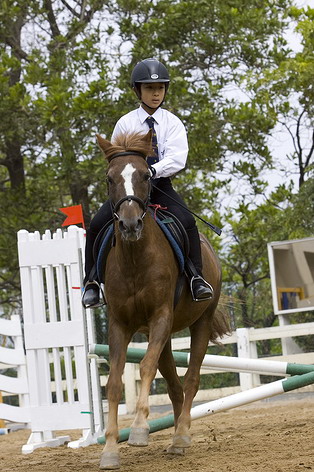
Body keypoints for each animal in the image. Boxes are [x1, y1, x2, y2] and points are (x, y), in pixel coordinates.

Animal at [95, 129, 231, 468]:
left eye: (146, 175)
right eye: (109, 178)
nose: (130, 224)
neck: (134, 258)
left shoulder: (159, 316)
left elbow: (145, 367)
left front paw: (140, 430)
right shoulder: (119, 324)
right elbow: (114, 382)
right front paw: (110, 450)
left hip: (200, 323)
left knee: (191, 379)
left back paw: (180, 436)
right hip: (167, 336)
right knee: (174, 385)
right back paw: (178, 439)